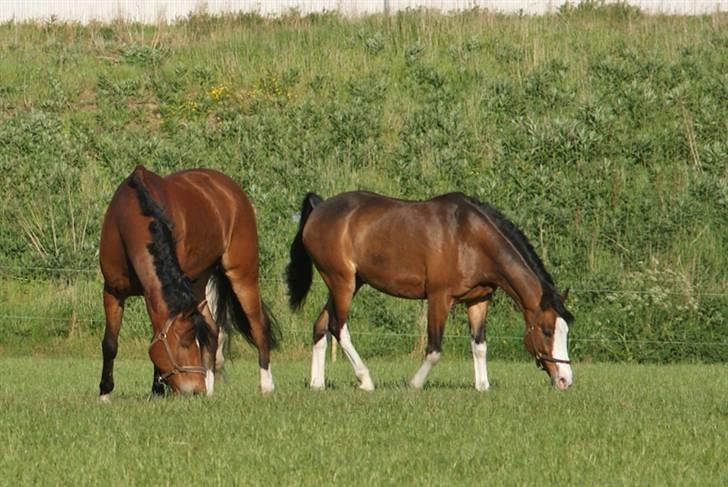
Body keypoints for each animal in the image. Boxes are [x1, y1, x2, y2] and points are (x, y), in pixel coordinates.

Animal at [98, 165, 278, 400]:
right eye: (184, 342)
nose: (196, 388)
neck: (128, 218)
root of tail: (231, 189)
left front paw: (156, 391)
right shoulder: (112, 291)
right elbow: (110, 343)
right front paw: (104, 393)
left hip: (243, 277)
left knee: (258, 326)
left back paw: (266, 385)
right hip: (198, 284)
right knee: (213, 328)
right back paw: (210, 387)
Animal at [284, 191, 576, 392]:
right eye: (546, 330)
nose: (565, 380)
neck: (471, 238)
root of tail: (319, 208)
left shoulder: (479, 299)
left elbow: (479, 345)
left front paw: (482, 386)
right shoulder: (439, 298)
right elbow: (434, 349)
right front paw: (414, 383)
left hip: (349, 284)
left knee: (320, 325)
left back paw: (317, 384)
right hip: (341, 282)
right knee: (338, 327)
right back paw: (365, 380)